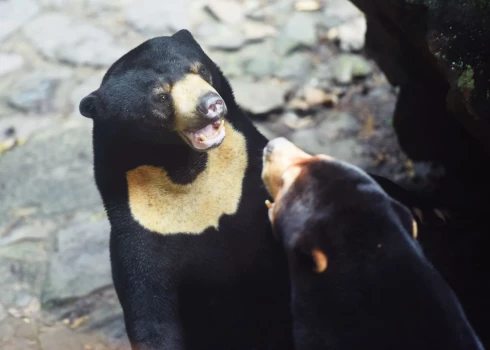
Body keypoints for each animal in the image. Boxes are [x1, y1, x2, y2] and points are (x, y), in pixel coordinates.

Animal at [79, 30, 292, 350]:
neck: (191, 174)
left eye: (199, 70)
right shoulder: (140, 233)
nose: (211, 103)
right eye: (161, 97)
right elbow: (151, 316)